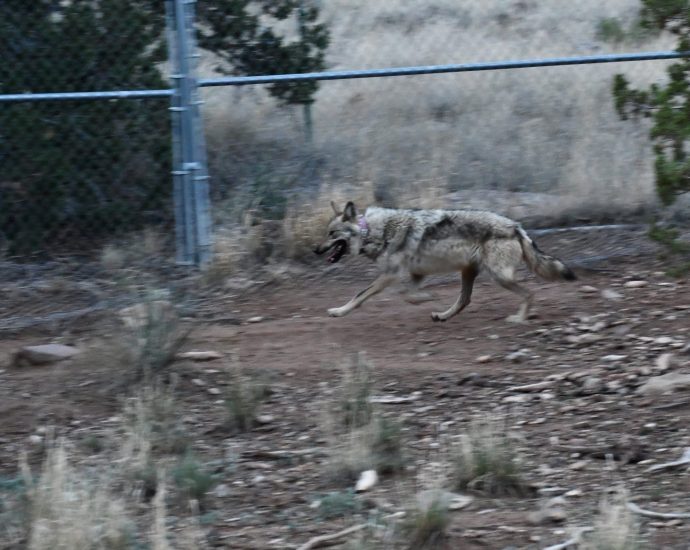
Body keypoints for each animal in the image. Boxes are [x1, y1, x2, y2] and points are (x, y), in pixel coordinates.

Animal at [314, 201, 577, 323]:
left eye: (332, 234)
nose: (315, 250)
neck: (372, 231)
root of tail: (516, 226)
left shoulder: (391, 274)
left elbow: (360, 295)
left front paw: (339, 311)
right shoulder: (415, 274)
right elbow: (407, 294)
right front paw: (424, 298)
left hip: (499, 276)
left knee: (530, 293)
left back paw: (519, 319)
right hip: (469, 273)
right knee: (464, 300)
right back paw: (442, 316)